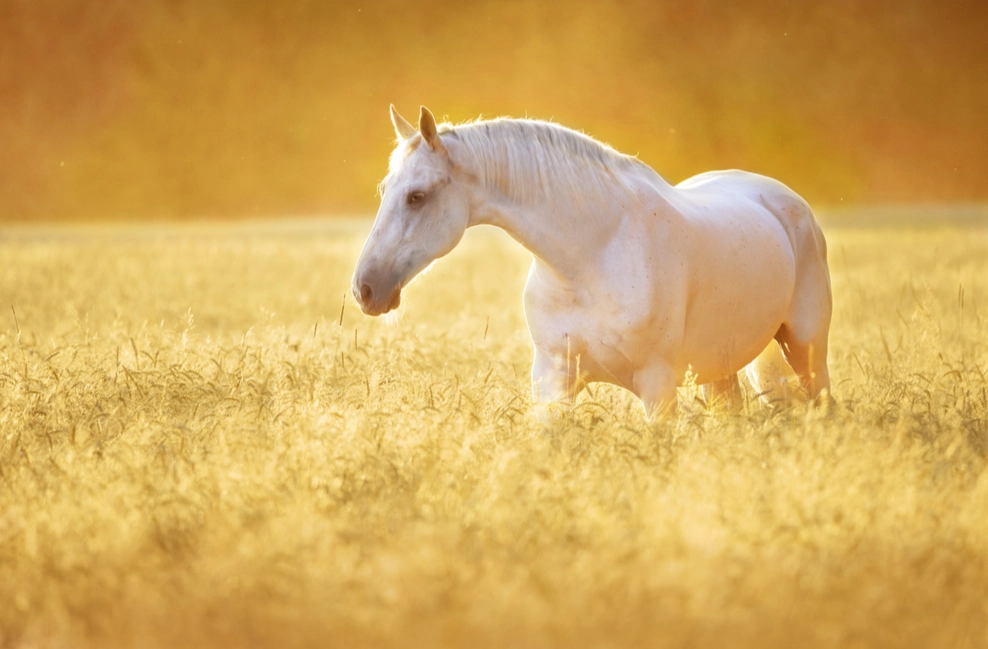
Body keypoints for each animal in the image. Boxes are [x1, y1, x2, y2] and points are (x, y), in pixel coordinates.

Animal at [351, 105, 833, 416]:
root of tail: (786, 200)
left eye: (417, 196)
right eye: (384, 190)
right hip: (720, 368)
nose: (365, 289)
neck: (591, 256)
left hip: (806, 351)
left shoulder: (658, 387)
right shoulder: (553, 381)